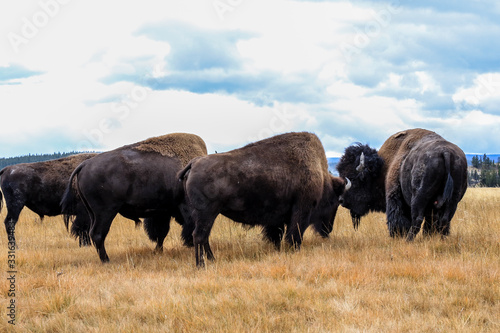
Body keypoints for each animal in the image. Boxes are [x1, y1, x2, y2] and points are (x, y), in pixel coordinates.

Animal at [62, 132, 207, 262]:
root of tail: (84, 165)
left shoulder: (163, 212)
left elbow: (161, 233)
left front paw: (158, 251)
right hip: (105, 212)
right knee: (98, 234)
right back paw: (106, 260)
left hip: (92, 213)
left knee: (93, 233)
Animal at [179, 131, 348, 266]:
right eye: (335, 201)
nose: (328, 229)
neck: (321, 176)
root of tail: (194, 162)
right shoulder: (301, 212)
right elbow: (294, 235)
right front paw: (294, 251)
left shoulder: (277, 219)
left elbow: (276, 236)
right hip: (207, 213)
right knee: (199, 236)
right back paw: (201, 265)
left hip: (207, 215)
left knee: (204, 237)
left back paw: (212, 260)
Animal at [336, 128, 468, 240]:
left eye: (354, 178)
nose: (341, 200)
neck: (382, 168)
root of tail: (445, 152)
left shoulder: (395, 196)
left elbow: (397, 217)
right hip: (453, 200)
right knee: (445, 219)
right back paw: (441, 239)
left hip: (419, 198)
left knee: (417, 219)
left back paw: (409, 240)